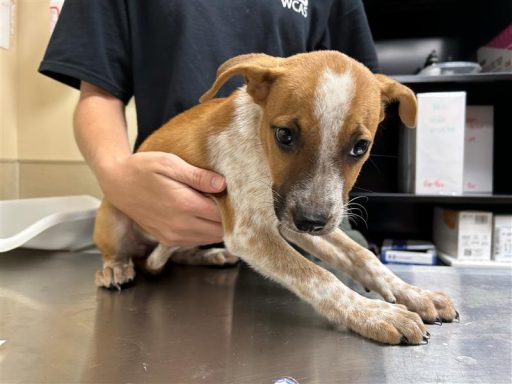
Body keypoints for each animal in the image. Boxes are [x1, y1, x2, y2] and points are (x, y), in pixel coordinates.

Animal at [94, 50, 458, 344]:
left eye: (360, 147)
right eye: (284, 135)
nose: (311, 222)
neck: (258, 148)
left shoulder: (291, 220)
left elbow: (362, 256)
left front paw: (414, 293)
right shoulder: (252, 231)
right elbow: (318, 277)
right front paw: (375, 314)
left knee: (178, 253)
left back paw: (210, 255)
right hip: (114, 215)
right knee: (120, 252)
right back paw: (116, 269)